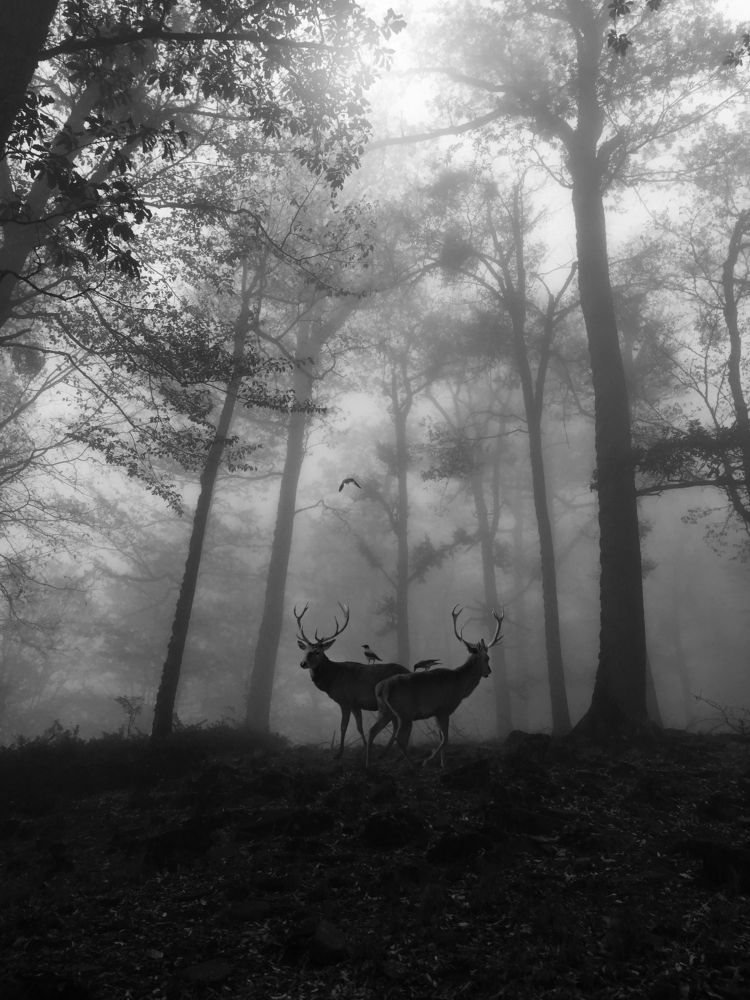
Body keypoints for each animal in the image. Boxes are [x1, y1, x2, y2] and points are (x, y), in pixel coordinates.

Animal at [295, 603, 413, 758]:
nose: (302, 663)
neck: (333, 678)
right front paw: (365, 748)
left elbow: (343, 726)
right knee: (396, 724)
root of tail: (410, 671)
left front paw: (339, 754)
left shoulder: (346, 700)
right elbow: (359, 727)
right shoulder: (356, 704)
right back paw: (386, 752)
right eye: (304, 650)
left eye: (317, 652)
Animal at [365, 605, 504, 769]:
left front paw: (443, 764)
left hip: (385, 711)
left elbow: (441, 738)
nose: (489, 672)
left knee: (372, 731)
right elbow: (445, 739)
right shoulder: (444, 708)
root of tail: (381, 688)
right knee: (399, 738)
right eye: (487, 658)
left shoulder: (436, 712)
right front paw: (428, 760)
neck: (459, 686)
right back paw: (413, 764)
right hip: (404, 713)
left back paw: (368, 763)